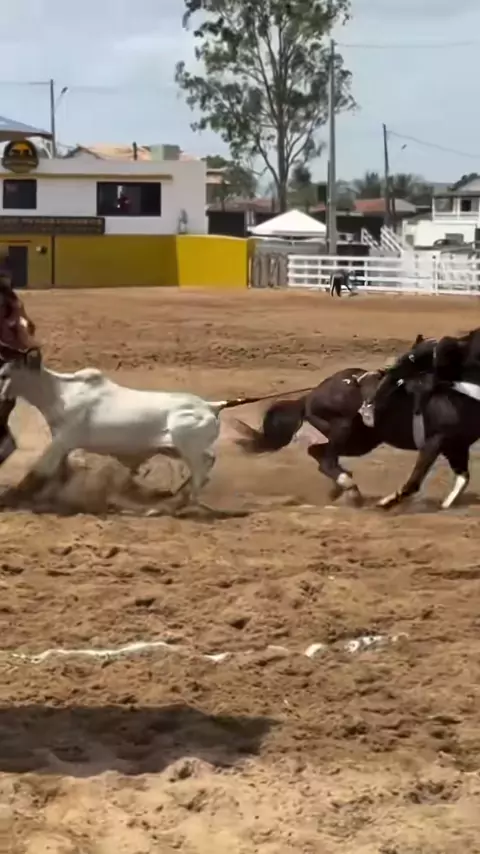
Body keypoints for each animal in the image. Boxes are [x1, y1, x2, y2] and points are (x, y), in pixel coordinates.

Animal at [0, 360, 268, 514]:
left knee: (201, 470)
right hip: (175, 448)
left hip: (187, 445)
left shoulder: (64, 440)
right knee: (206, 465)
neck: (61, 392)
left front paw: (15, 497)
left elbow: (42, 470)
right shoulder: (62, 443)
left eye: (4, 373)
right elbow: (57, 473)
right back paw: (172, 498)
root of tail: (211, 406)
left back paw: (177, 505)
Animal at [233, 364, 480, 511]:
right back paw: (349, 488)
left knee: (318, 452)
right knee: (325, 459)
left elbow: (463, 477)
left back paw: (342, 487)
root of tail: (310, 396)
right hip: (343, 429)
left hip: (360, 440)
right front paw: (388, 502)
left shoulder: (457, 446)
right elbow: (415, 480)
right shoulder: (434, 442)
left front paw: (447, 504)